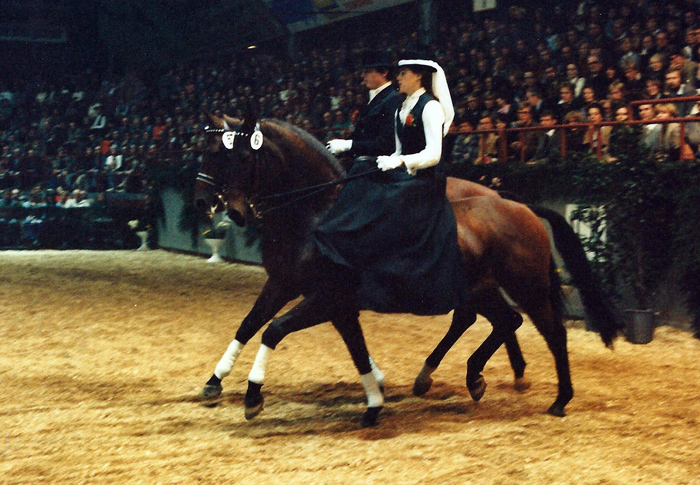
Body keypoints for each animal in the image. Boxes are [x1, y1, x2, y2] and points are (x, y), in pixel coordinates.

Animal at [194, 113, 620, 424]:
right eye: (207, 152)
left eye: (239, 157)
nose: (223, 208)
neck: (317, 213)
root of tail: (519, 206)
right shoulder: (295, 287)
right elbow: (255, 325)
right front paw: (214, 383)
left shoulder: (326, 298)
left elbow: (273, 330)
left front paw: (253, 395)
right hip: (482, 287)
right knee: (502, 321)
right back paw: (468, 377)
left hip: (526, 288)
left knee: (551, 333)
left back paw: (558, 400)